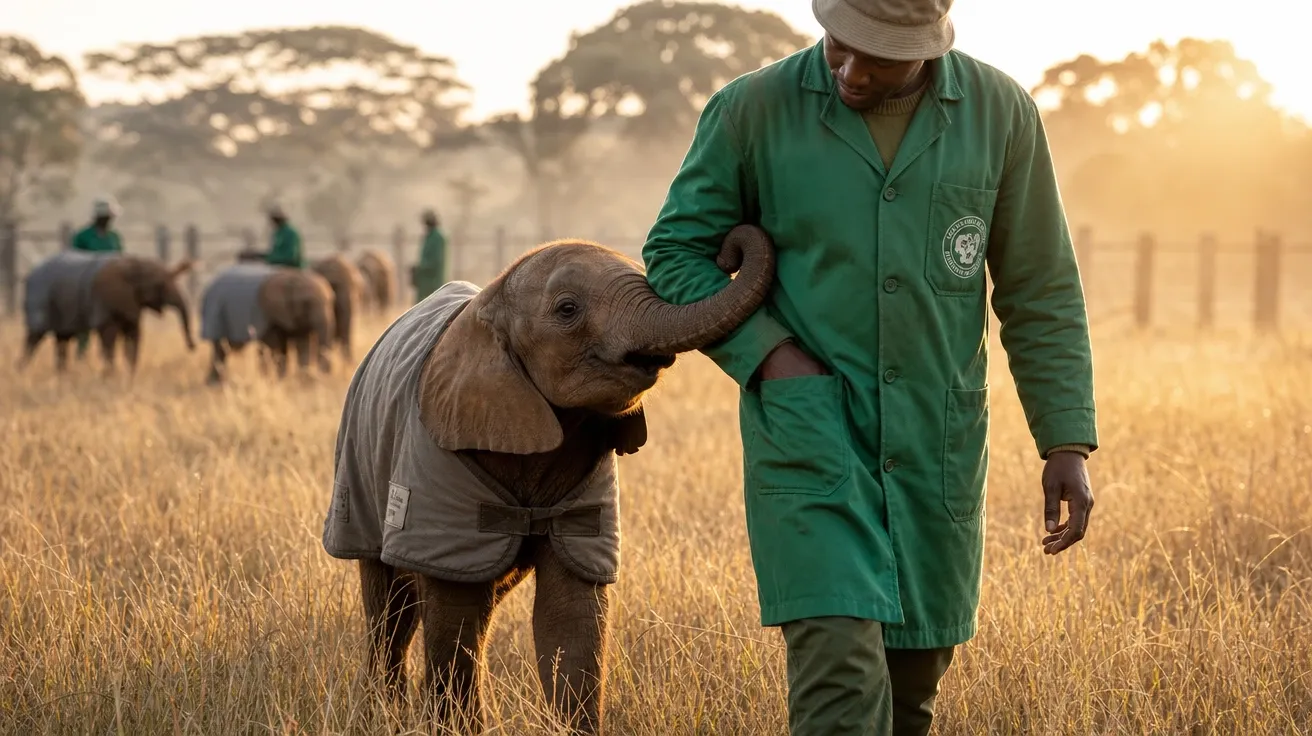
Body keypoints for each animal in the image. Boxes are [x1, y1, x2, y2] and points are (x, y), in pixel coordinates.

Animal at [19, 250, 196, 374]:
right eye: (160, 285)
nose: (192, 347)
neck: (134, 263)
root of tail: (28, 276)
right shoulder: (106, 298)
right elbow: (109, 336)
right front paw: (110, 377)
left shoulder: (131, 302)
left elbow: (133, 334)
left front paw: (129, 377)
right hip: (39, 297)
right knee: (34, 337)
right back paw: (22, 371)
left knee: (62, 339)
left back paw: (61, 376)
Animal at [200, 262, 336, 384]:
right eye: (307, 303)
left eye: (331, 302)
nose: (322, 376)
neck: (293, 275)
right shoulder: (268, 312)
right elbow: (274, 345)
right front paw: (278, 381)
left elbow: (303, 343)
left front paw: (300, 382)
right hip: (215, 312)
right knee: (220, 347)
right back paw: (215, 383)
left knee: (223, 348)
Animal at [321, 224, 776, 734]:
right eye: (567, 309)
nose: (733, 245)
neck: (492, 300)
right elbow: (455, 613)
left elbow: (571, 618)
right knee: (390, 607)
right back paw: (381, 709)